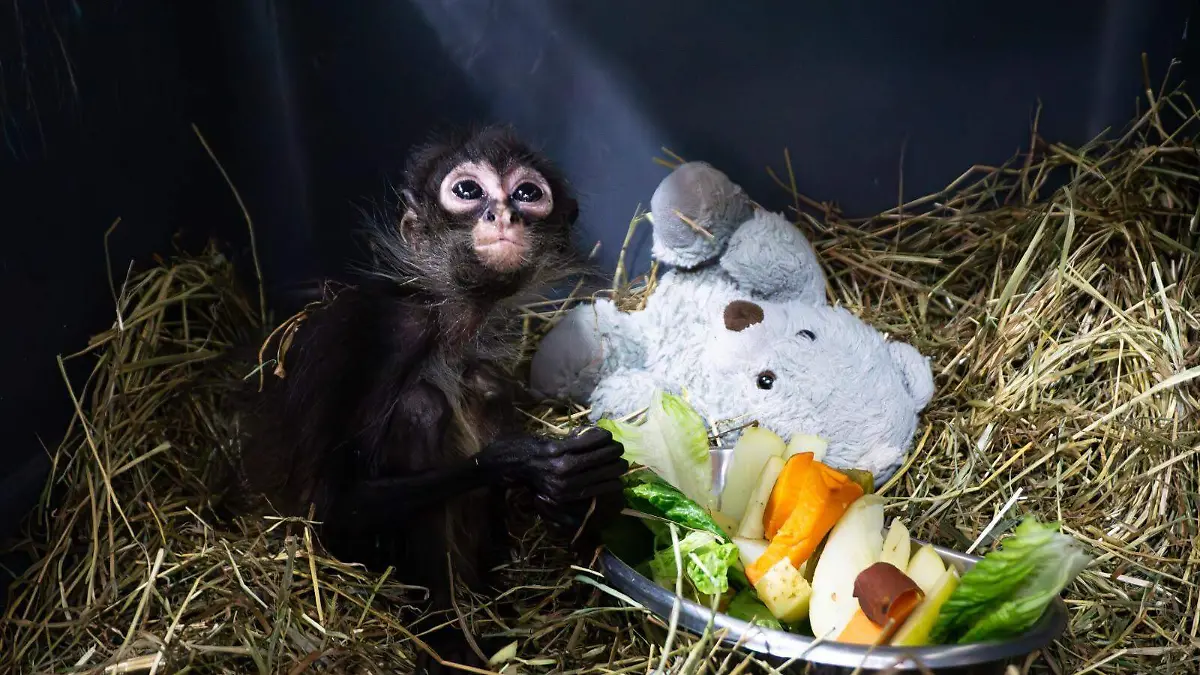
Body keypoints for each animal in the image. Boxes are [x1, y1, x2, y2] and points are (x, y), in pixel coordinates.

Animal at [223, 126, 629, 673]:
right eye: (467, 191)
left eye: (527, 193)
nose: (503, 214)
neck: (445, 322)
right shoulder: (385, 331)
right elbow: (331, 506)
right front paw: (527, 462)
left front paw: (583, 493)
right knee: (423, 405)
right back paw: (447, 638)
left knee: (484, 382)